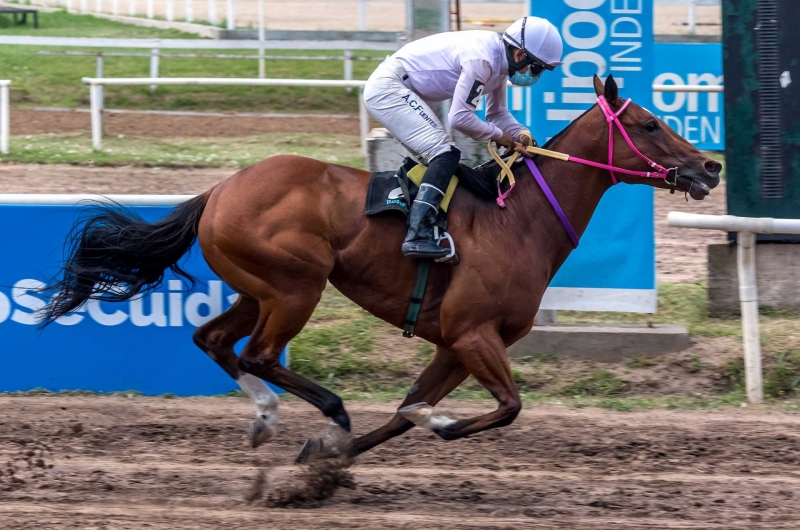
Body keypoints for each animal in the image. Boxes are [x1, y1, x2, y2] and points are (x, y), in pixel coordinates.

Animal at [39, 75, 724, 462]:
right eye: (650, 124)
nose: (710, 167)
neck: (522, 221)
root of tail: (221, 188)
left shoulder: (455, 345)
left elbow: (404, 413)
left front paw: (323, 458)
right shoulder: (474, 334)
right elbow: (504, 408)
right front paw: (414, 426)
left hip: (257, 288)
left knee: (212, 339)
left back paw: (268, 418)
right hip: (297, 286)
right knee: (258, 353)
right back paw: (327, 408)